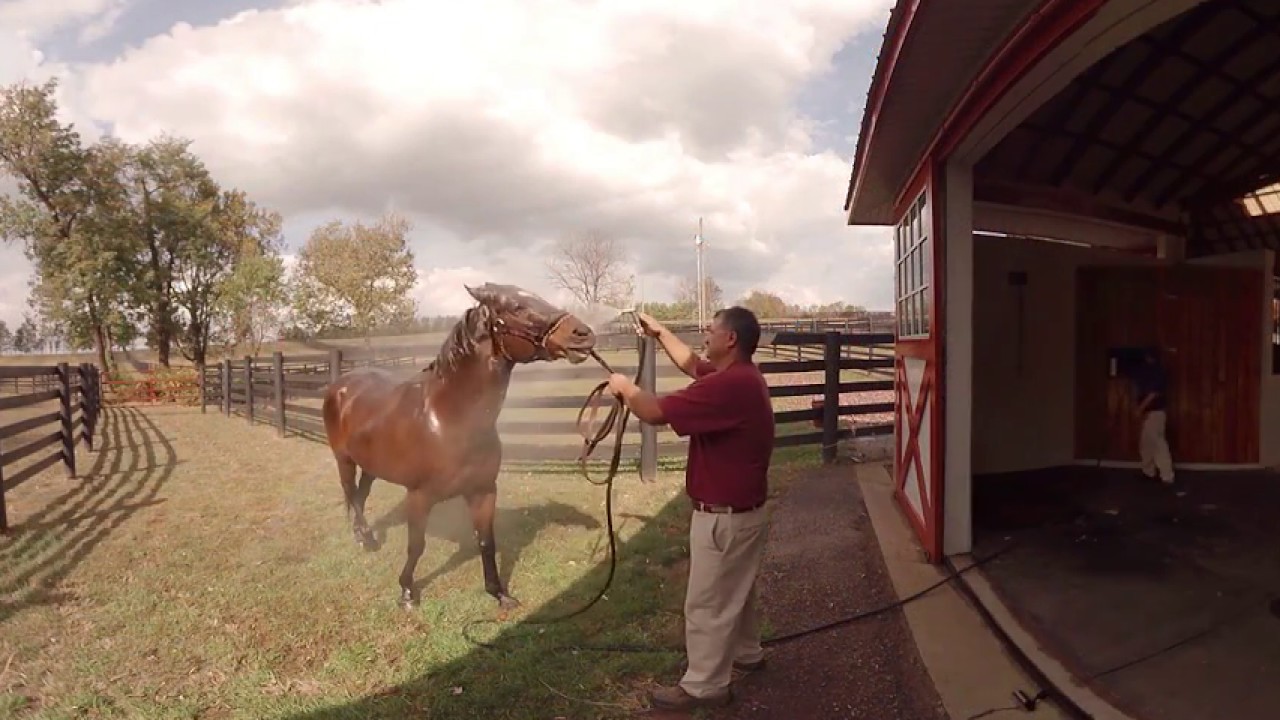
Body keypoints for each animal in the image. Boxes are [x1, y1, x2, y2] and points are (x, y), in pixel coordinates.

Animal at [321, 282, 598, 610]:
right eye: (517, 307)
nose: (583, 334)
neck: (447, 418)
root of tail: (341, 384)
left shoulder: (482, 491)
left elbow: (486, 542)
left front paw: (499, 593)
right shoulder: (419, 496)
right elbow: (417, 545)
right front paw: (406, 592)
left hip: (371, 465)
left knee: (360, 496)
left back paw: (364, 538)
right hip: (344, 459)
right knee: (351, 494)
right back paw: (367, 539)